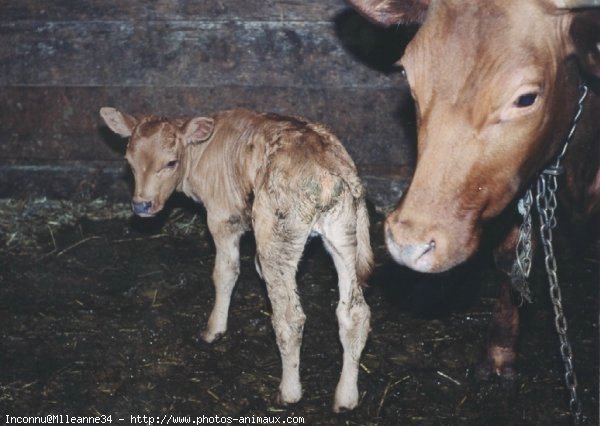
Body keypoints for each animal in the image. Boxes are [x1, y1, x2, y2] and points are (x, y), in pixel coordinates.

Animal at [98, 107, 370, 412]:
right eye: (130, 163)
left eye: (171, 162)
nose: (141, 205)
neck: (201, 152)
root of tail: (329, 168)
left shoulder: (222, 217)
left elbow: (225, 273)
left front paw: (213, 330)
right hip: (344, 234)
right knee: (354, 313)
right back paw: (346, 397)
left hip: (278, 236)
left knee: (290, 317)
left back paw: (288, 392)